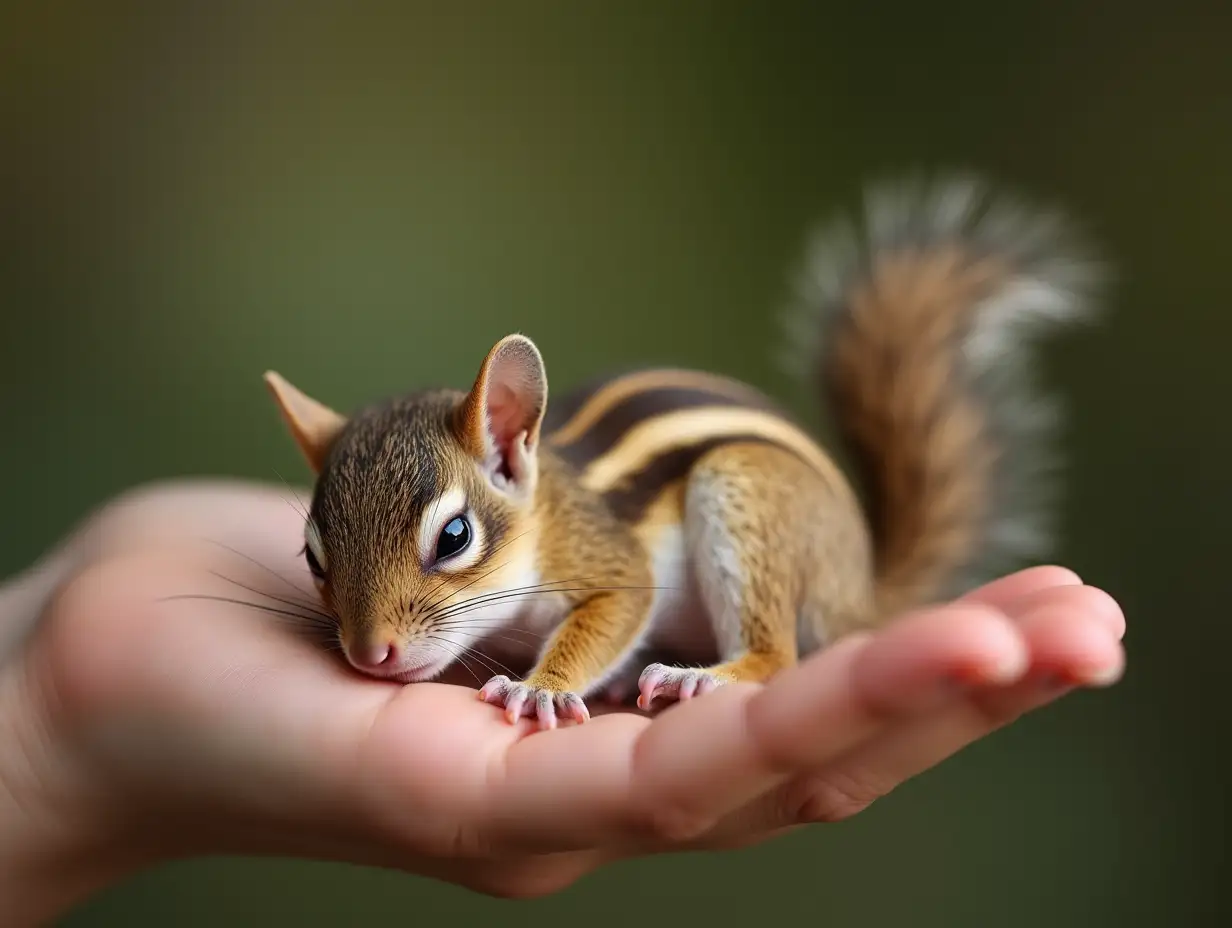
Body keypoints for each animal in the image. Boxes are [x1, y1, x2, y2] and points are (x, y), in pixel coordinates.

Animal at [264, 172, 1103, 724]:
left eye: (455, 537)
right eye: (313, 556)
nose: (370, 655)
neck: (547, 511)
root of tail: (862, 591)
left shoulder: (613, 567)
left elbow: (611, 612)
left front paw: (542, 688)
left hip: (743, 491)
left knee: (779, 658)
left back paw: (703, 679)